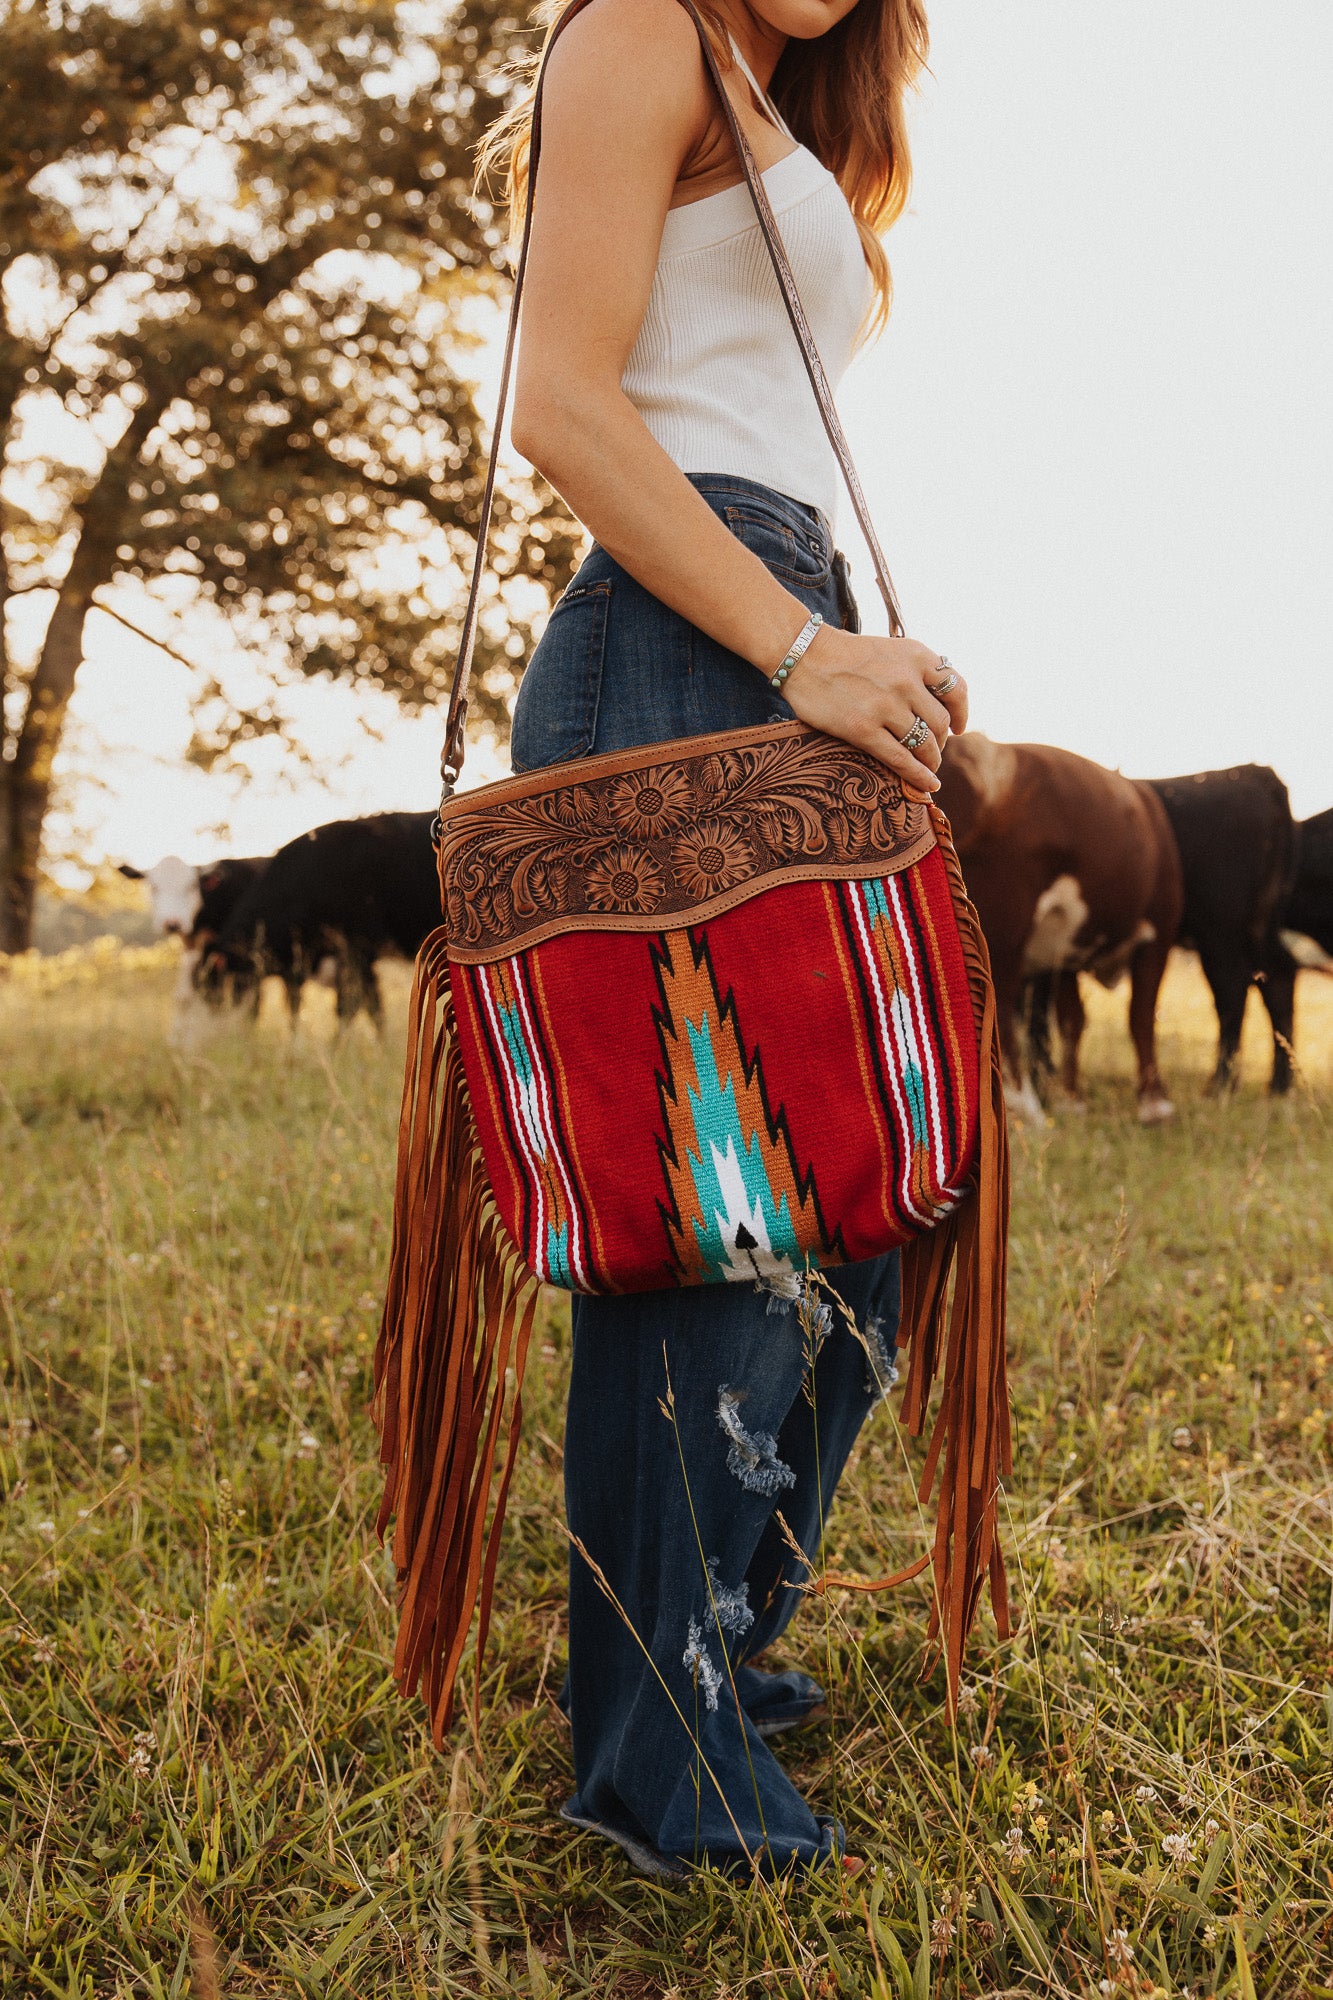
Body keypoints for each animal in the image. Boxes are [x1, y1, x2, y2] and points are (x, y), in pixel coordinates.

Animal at [932, 740, 1184, 1128]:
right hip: (1005, 922)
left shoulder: (1063, 954)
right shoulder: (1158, 932)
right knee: (1001, 1003)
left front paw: (1072, 1099)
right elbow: (1141, 1015)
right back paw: (1025, 1106)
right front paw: (1155, 1104)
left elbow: (1072, 1020)